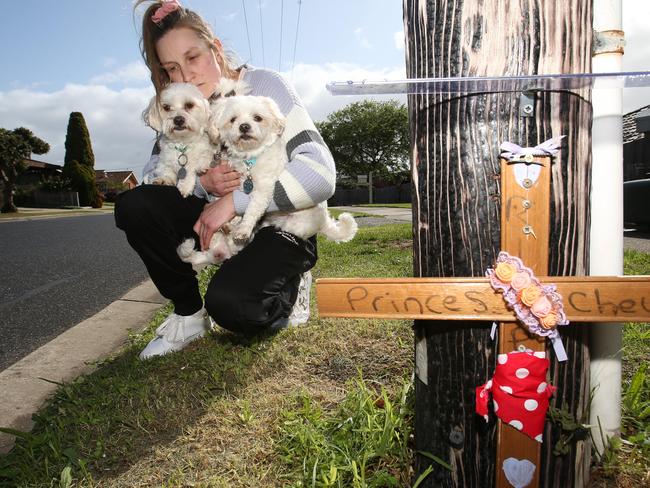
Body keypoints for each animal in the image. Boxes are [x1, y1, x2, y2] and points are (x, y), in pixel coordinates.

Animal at [175, 94, 356, 270]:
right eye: (233, 119)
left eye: (257, 118)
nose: (244, 126)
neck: (250, 159)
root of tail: (324, 221)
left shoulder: (263, 188)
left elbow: (251, 208)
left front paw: (244, 228)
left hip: (292, 224)